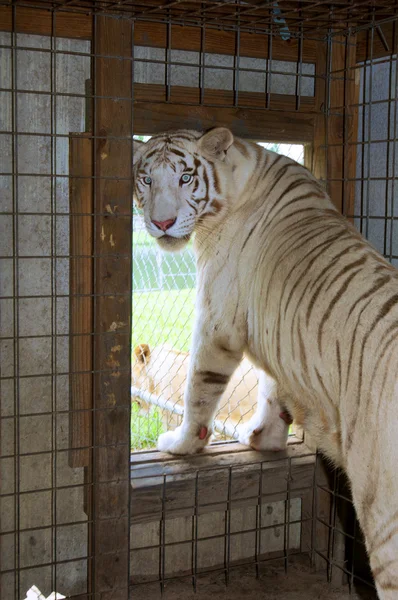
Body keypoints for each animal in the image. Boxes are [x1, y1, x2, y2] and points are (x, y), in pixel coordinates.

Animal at [133, 125, 398, 596]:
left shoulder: (217, 321)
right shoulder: (280, 335)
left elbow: (199, 390)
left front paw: (182, 444)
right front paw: (262, 439)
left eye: (185, 178)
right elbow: (273, 393)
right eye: (146, 180)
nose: (161, 223)